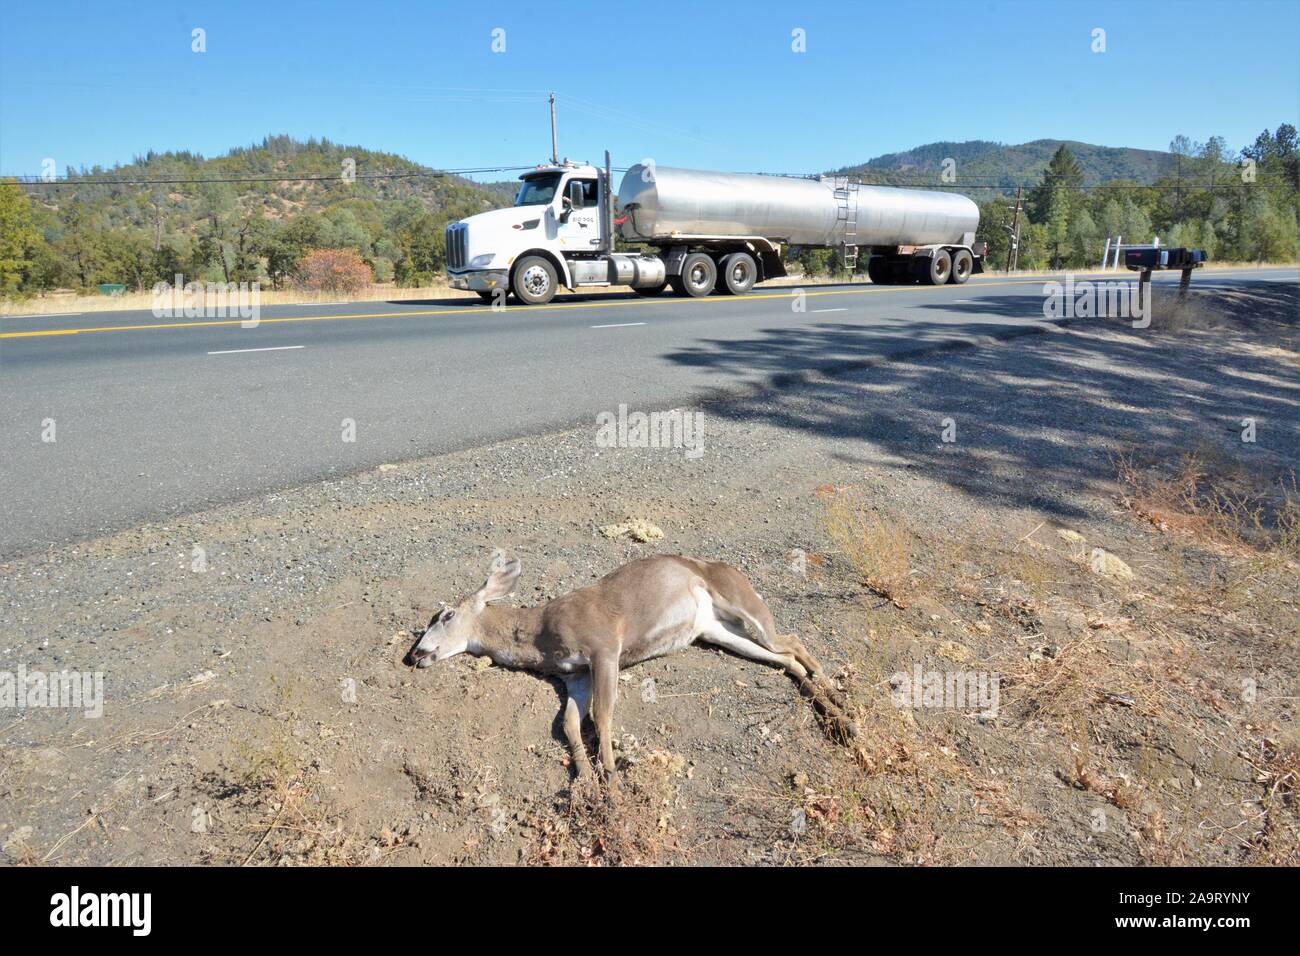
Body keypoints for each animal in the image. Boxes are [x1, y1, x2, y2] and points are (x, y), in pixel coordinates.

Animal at [406, 551, 857, 777]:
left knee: (791, 640)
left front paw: (612, 779)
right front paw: (585, 780)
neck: (539, 634)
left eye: (445, 615)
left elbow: (603, 715)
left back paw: (846, 712)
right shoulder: (575, 675)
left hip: (739, 599)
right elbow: (569, 723)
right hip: (714, 630)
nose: (415, 654)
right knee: (784, 658)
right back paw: (838, 719)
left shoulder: (604, 647)